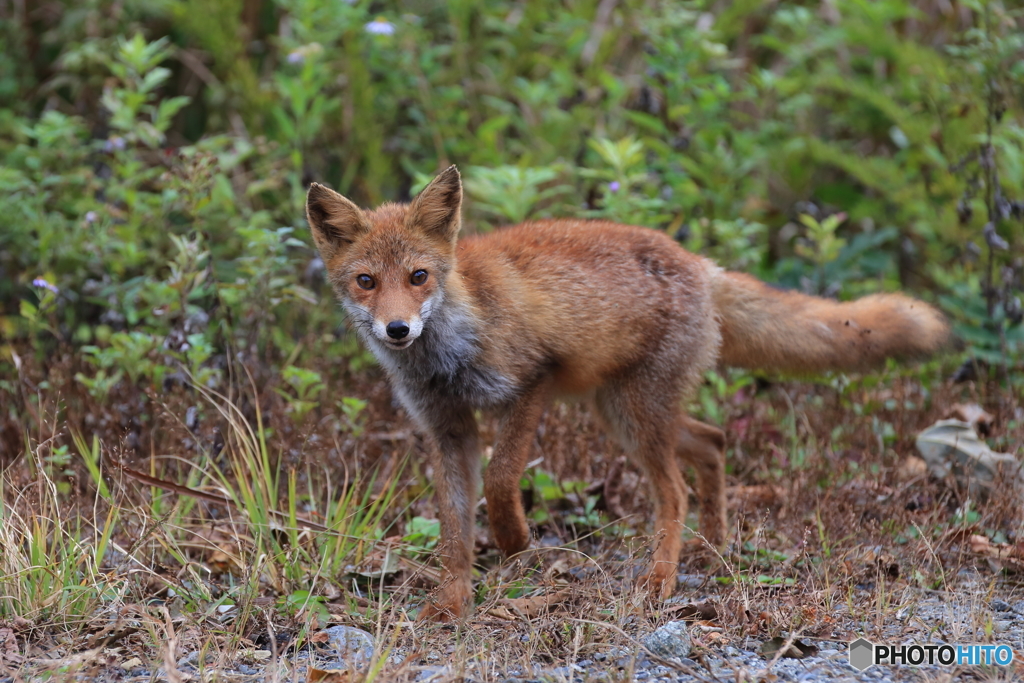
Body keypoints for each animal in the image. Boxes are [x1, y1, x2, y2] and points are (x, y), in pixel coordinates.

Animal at [305, 167, 950, 622]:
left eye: (418, 277)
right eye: (366, 281)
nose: (397, 330)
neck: (449, 350)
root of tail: (699, 262)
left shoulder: (530, 383)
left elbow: (501, 480)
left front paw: (515, 542)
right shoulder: (448, 429)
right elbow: (454, 529)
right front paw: (452, 602)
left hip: (635, 420)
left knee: (676, 492)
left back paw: (662, 579)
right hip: (623, 413)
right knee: (713, 440)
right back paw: (713, 548)